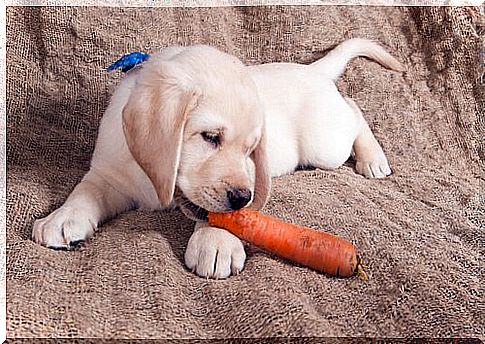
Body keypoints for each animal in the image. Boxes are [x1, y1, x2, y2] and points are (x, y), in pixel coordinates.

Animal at [34, 38, 402, 280]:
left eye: (251, 150)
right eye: (211, 137)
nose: (241, 198)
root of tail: (312, 70)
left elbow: (221, 215)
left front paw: (216, 243)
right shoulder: (110, 171)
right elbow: (86, 190)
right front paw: (63, 217)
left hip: (324, 144)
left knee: (353, 109)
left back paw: (373, 159)